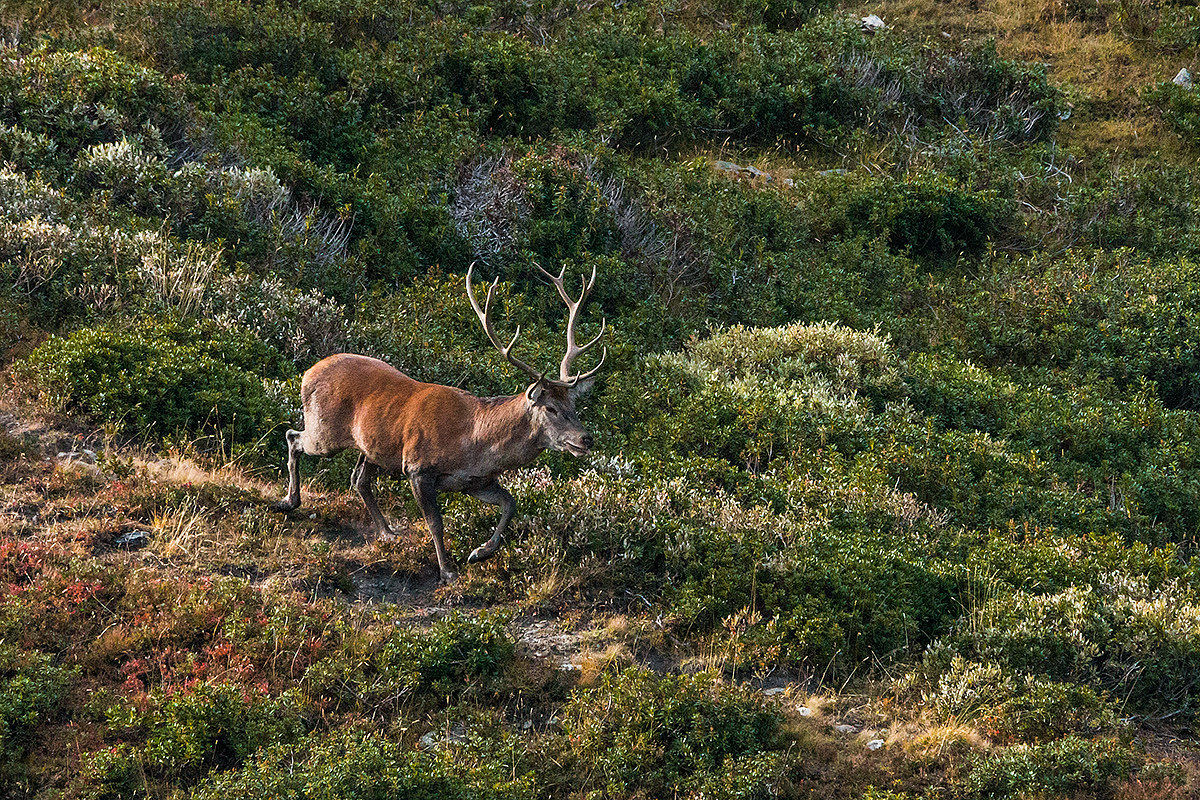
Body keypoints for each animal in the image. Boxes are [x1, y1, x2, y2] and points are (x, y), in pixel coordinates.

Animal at [273, 263, 606, 582]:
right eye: (550, 408)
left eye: (574, 405)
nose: (585, 438)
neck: (475, 443)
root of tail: (307, 373)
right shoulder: (418, 468)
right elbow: (436, 523)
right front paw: (447, 570)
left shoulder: (475, 481)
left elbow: (510, 504)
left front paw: (480, 552)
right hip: (324, 430)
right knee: (293, 436)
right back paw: (290, 500)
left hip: (372, 446)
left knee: (358, 478)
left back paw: (387, 532)